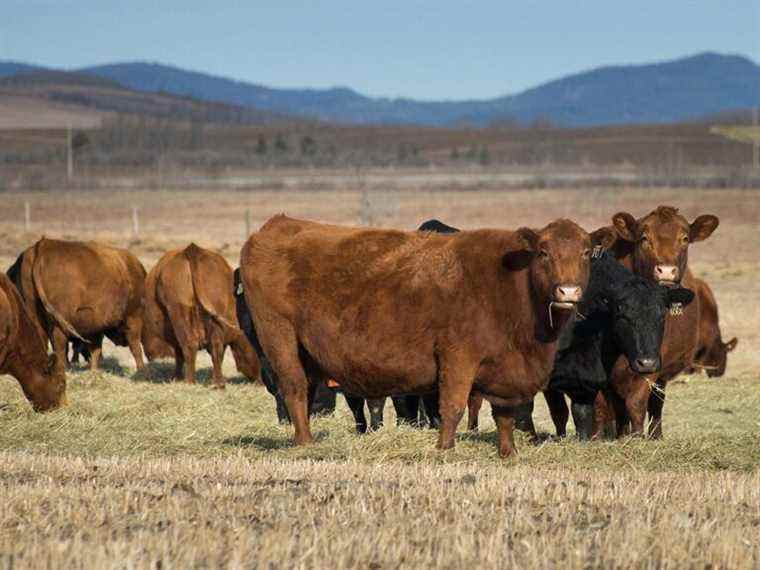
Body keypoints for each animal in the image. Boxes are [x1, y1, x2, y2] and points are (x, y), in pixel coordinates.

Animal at [8, 236, 147, 372]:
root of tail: (45, 244)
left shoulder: (95, 326)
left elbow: (95, 348)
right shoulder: (133, 316)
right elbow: (135, 347)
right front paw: (141, 369)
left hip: (35, 313)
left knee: (45, 340)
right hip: (59, 321)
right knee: (60, 344)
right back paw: (63, 368)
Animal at [143, 242, 262, 388]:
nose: (263, 383)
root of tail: (192, 250)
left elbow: (179, 354)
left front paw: (176, 377)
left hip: (180, 312)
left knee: (190, 346)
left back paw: (190, 382)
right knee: (215, 348)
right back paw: (218, 383)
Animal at [242, 213, 592, 458]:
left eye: (587, 253)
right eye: (544, 252)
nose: (568, 291)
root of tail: (277, 225)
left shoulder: (505, 372)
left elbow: (504, 414)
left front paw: (509, 453)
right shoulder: (457, 355)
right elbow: (452, 406)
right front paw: (444, 450)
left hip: (306, 352)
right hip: (280, 339)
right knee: (294, 389)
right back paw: (304, 443)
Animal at [592, 206, 720, 438]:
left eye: (685, 238)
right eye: (644, 238)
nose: (666, 271)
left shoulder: (652, 363)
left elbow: (637, 403)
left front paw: (636, 438)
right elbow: (600, 406)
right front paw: (595, 438)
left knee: (655, 404)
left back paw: (654, 435)